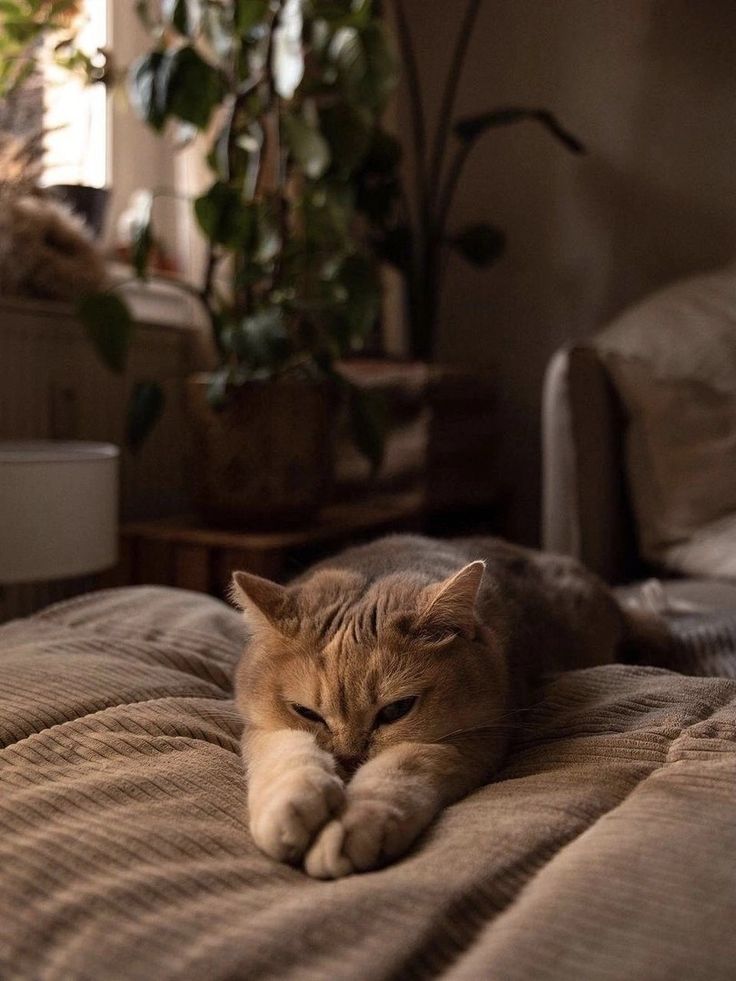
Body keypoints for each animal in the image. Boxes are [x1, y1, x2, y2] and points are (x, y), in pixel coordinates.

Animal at [231, 536, 668, 880]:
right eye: (306, 713)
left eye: (396, 711)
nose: (349, 759)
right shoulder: (260, 729)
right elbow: (288, 752)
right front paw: (291, 807)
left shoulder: (472, 739)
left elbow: (402, 767)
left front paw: (353, 826)